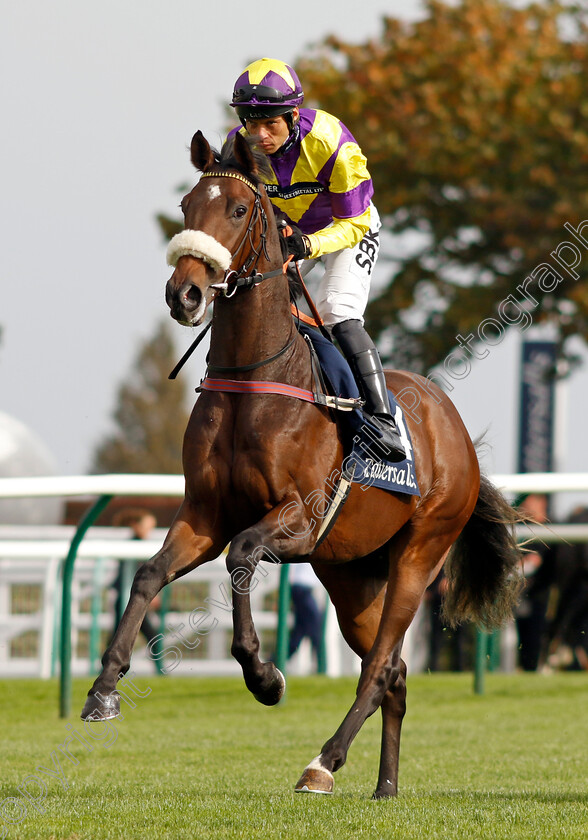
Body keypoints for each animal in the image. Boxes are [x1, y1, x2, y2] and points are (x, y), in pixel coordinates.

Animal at [80, 128, 520, 796]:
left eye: (239, 209)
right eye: (186, 206)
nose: (184, 294)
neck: (255, 377)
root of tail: (457, 434)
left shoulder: (299, 518)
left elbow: (241, 557)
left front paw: (265, 677)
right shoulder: (204, 514)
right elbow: (150, 575)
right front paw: (104, 689)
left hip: (419, 555)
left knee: (381, 666)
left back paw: (323, 762)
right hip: (350, 574)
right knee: (394, 672)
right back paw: (385, 786)